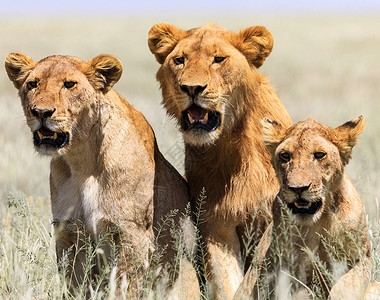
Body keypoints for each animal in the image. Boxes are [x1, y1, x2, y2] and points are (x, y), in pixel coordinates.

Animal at [4, 53, 199, 298]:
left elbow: (124, 287)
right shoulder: (69, 232)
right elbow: (74, 286)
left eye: (69, 84)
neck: (82, 160)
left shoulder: (132, 233)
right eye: (32, 84)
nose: (40, 112)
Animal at [148, 22, 290, 298]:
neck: (232, 145)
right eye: (180, 60)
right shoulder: (216, 227)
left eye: (218, 59)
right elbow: (225, 282)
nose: (191, 88)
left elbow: (254, 274)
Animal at [251, 116, 372, 298]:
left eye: (319, 155)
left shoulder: (362, 256)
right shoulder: (292, 269)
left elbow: (346, 286)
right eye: (285, 155)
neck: (320, 220)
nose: (298, 188)